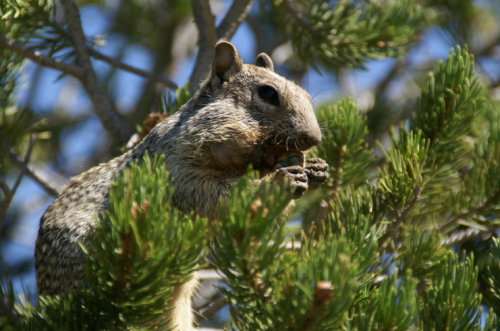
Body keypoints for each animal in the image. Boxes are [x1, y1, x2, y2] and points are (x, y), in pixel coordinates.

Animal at [34, 42, 328, 331]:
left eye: (306, 94)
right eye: (268, 94)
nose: (314, 138)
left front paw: (316, 169)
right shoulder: (176, 172)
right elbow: (215, 196)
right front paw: (280, 181)